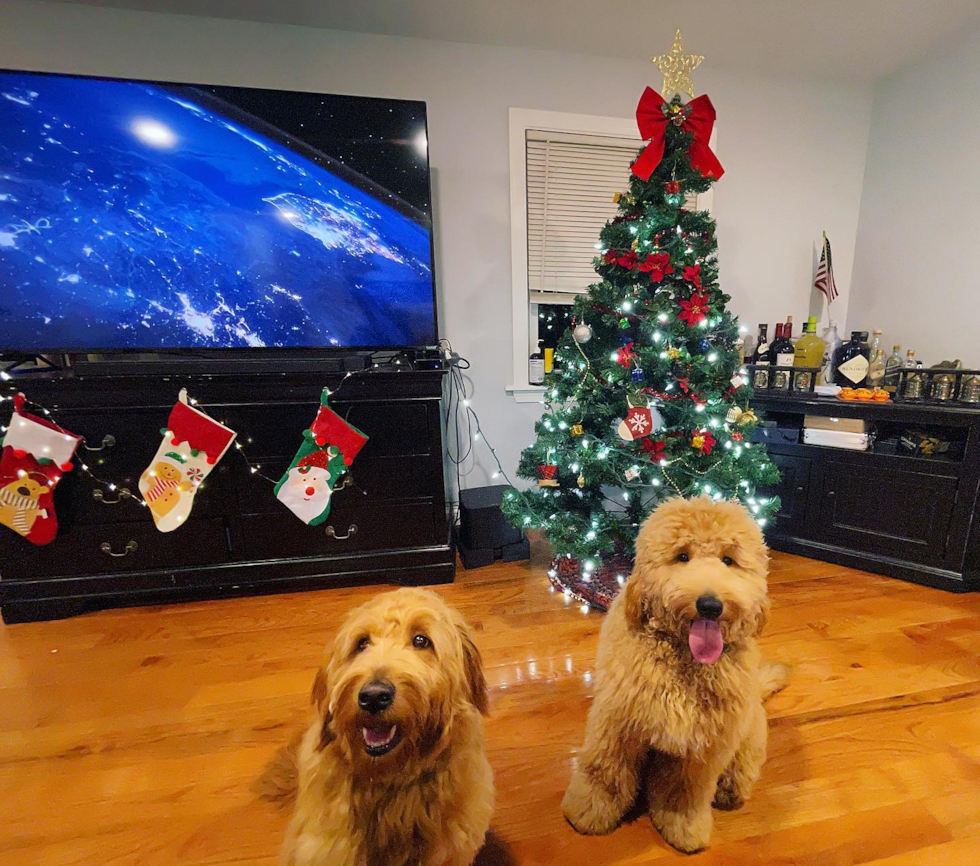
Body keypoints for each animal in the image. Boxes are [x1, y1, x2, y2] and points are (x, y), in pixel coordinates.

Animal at [564, 492, 784, 852]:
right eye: (682, 556)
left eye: (728, 560)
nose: (710, 605)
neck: (682, 661)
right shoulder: (617, 724)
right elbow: (605, 772)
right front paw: (588, 811)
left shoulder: (703, 746)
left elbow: (685, 790)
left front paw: (684, 826)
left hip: (747, 733)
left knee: (741, 769)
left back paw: (730, 789)